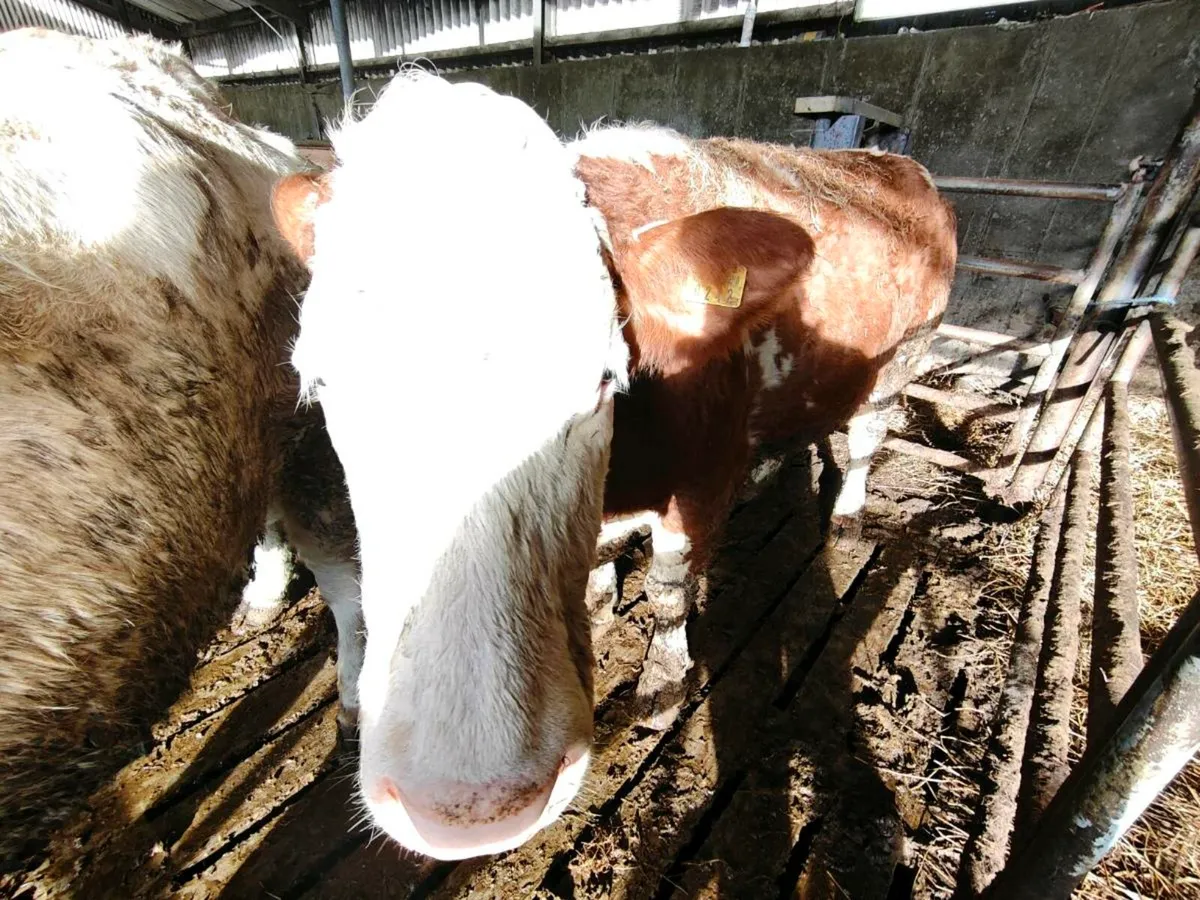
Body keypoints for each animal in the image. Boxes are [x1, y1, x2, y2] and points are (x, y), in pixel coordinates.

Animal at [269, 72, 956, 860]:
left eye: (603, 378)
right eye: (321, 383)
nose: (470, 807)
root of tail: (891, 162)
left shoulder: (703, 481)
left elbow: (667, 589)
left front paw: (661, 681)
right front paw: (597, 597)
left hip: (904, 358)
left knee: (868, 440)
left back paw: (846, 518)